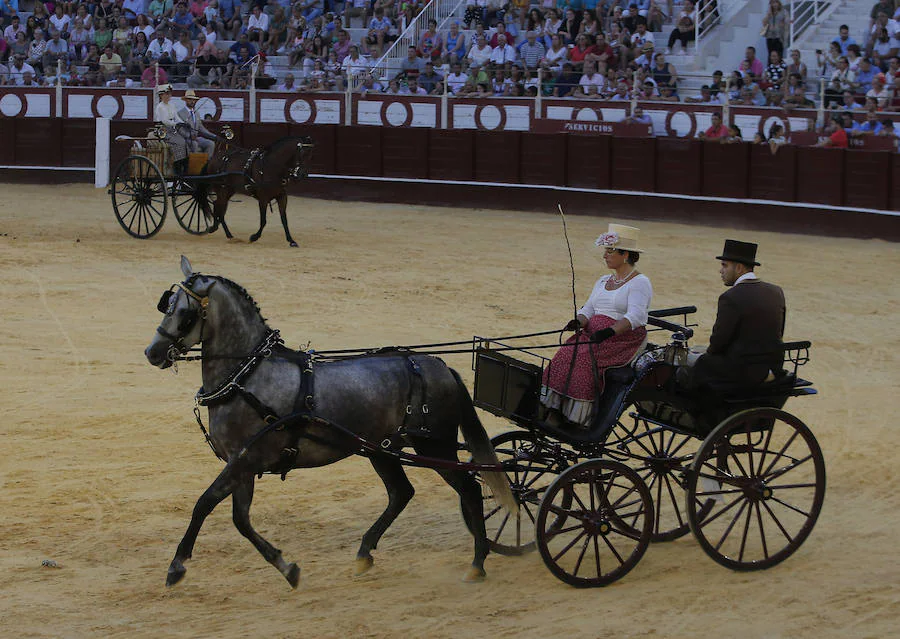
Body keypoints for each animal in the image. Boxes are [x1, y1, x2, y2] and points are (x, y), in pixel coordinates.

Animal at [146, 258, 512, 588]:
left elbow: (204, 504)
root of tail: (439, 365)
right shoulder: (243, 465)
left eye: (185, 314)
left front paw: (177, 566)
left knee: (470, 490)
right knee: (401, 493)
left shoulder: (245, 460)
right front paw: (287, 567)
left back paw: (478, 562)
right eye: (167, 305)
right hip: (382, 450)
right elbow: (241, 520)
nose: (152, 352)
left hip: (434, 447)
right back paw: (364, 553)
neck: (247, 377)